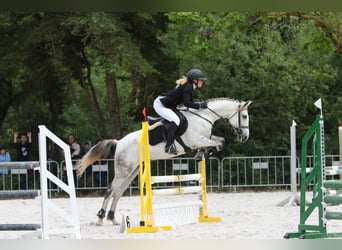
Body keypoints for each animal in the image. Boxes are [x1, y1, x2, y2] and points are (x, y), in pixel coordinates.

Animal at [78, 98, 254, 226]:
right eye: (244, 116)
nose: (245, 137)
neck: (203, 117)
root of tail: (119, 142)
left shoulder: (204, 139)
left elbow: (221, 141)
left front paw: (202, 154)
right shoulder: (196, 140)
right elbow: (218, 143)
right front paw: (201, 154)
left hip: (132, 170)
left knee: (118, 192)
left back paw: (113, 219)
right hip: (124, 170)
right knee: (110, 190)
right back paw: (100, 218)